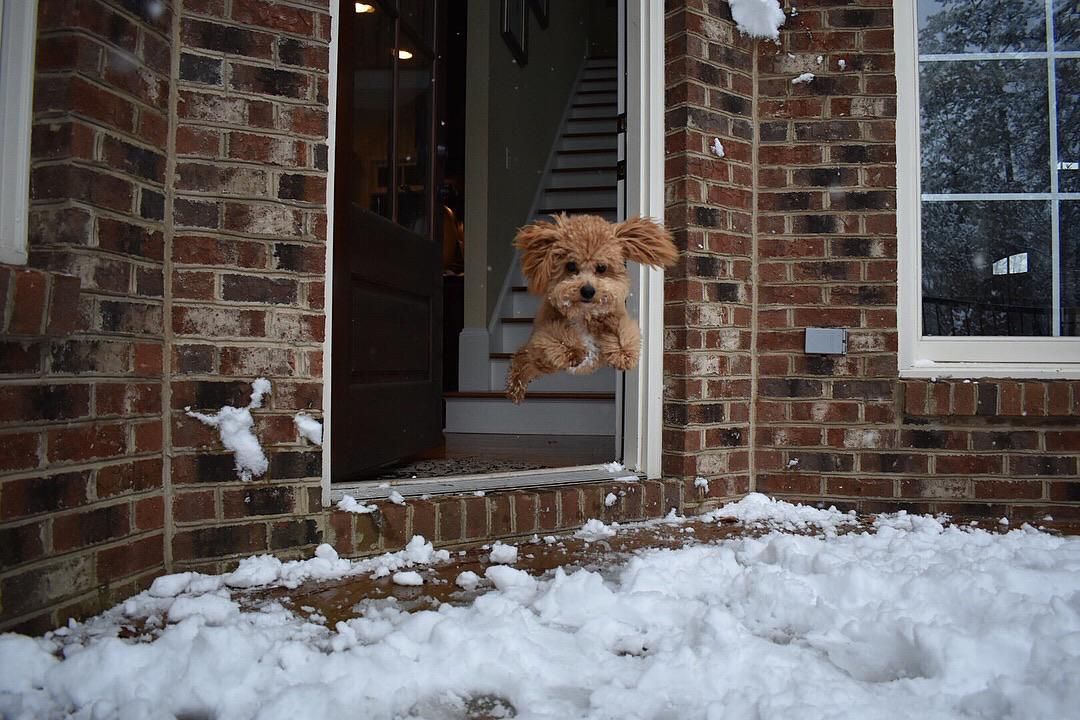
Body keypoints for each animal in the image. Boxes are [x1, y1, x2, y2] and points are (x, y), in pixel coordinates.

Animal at [503, 213, 673, 405]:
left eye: (602, 268)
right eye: (570, 266)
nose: (588, 290)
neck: (584, 313)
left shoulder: (617, 316)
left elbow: (624, 331)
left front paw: (623, 353)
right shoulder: (544, 331)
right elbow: (555, 336)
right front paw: (573, 350)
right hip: (540, 360)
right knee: (521, 358)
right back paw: (515, 389)